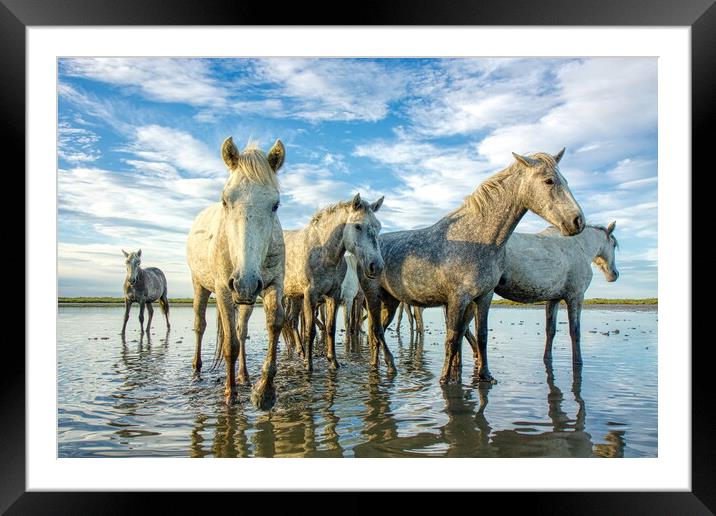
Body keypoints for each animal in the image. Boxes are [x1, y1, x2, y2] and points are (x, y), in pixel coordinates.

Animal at [187, 137, 288, 412]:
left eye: (275, 205)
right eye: (225, 201)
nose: (244, 283)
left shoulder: (273, 284)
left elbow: (274, 324)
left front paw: (264, 393)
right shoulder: (224, 289)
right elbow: (229, 344)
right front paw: (230, 395)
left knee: (242, 331)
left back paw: (243, 376)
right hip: (201, 287)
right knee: (200, 326)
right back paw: (196, 371)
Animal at [282, 194, 386, 370]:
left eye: (378, 227)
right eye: (357, 226)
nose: (376, 266)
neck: (323, 252)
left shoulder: (334, 295)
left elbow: (331, 327)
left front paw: (334, 362)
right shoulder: (311, 295)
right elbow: (310, 330)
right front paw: (308, 365)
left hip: (295, 296)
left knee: (292, 321)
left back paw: (300, 352)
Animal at [360, 148, 584, 382]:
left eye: (565, 180)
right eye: (549, 181)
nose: (578, 221)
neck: (477, 237)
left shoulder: (484, 296)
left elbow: (481, 335)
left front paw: (485, 375)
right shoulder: (458, 299)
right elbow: (452, 338)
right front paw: (444, 379)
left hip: (391, 301)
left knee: (375, 332)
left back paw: (378, 366)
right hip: (373, 296)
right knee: (376, 330)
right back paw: (387, 366)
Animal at [468, 222, 620, 366]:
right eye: (613, 244)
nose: (614, 274)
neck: (580, 247)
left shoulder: (554, 299)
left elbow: (550, 330)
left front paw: (547, 358)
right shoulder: (575, 297)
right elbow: (575, 331)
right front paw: (578, 361)